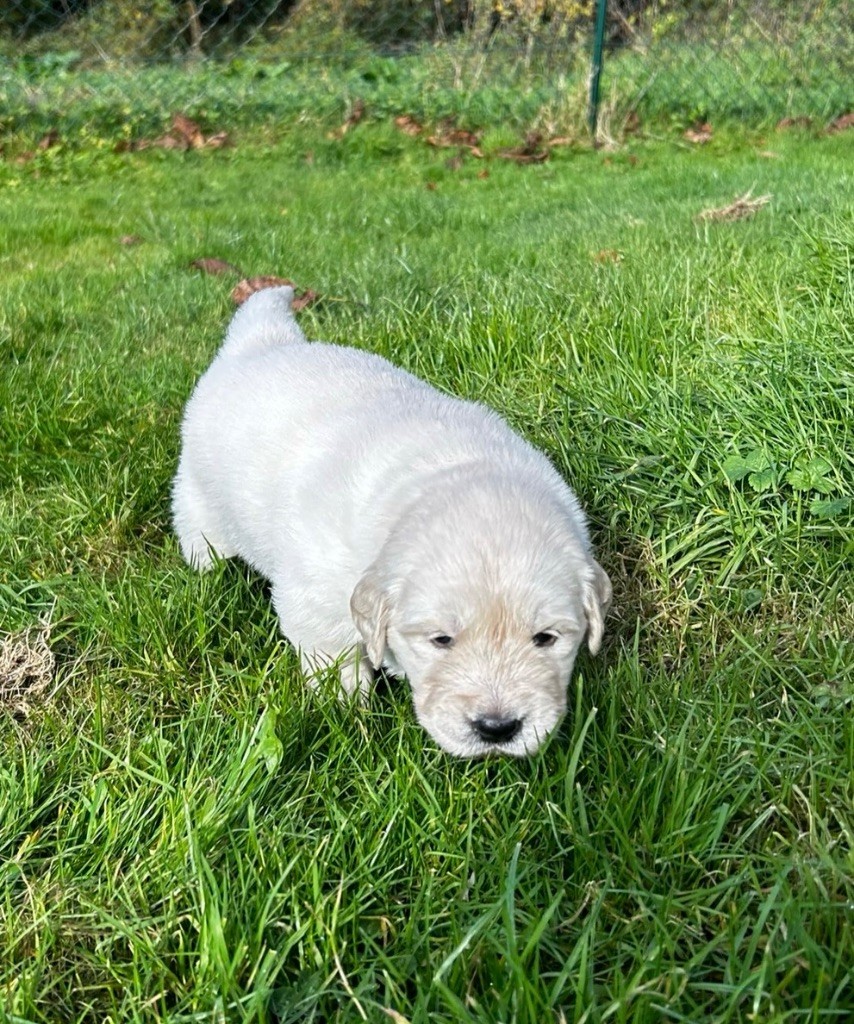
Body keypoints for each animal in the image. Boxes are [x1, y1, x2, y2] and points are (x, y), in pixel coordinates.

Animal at [173, 286, 611, 757]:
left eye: (546, 638)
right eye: (441, 640)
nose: (497, 728)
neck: (451, 471)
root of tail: (260, 342)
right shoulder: (316, 592)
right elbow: (332, 652)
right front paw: (345, 708)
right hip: (198, 501)